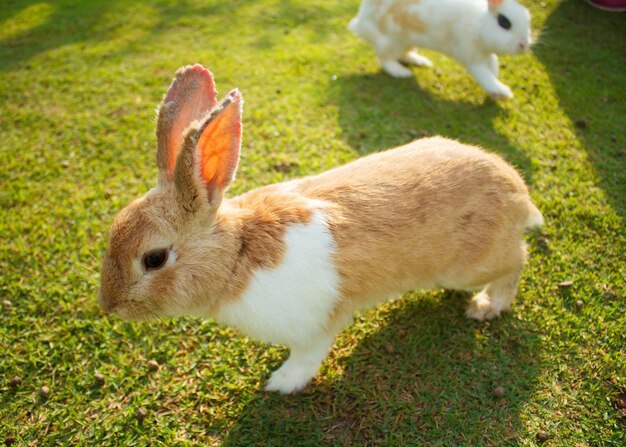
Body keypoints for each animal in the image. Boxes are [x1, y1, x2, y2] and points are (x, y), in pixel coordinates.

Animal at [98, 65, 540, 394]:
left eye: (154, 259)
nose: (108, 306)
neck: (238, 254)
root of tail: (517, 192)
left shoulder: (314, 328)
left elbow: (306, 358)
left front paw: (280, 383)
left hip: (469, 267)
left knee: (517, 260)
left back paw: (487, 305)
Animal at [348, 0, 528, 99]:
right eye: (504, 22)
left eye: (527, 18)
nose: (523, 44)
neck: (479, 22)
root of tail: (361, 23)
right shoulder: (470, 56)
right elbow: (484, 76)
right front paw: (503, 92)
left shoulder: (485, 54)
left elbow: (493, 66)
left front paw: (495, 94)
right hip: (392, 41)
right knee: (385, 58)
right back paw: (402, 72)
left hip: (407, 42)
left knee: (404, 54)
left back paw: (421, 62)